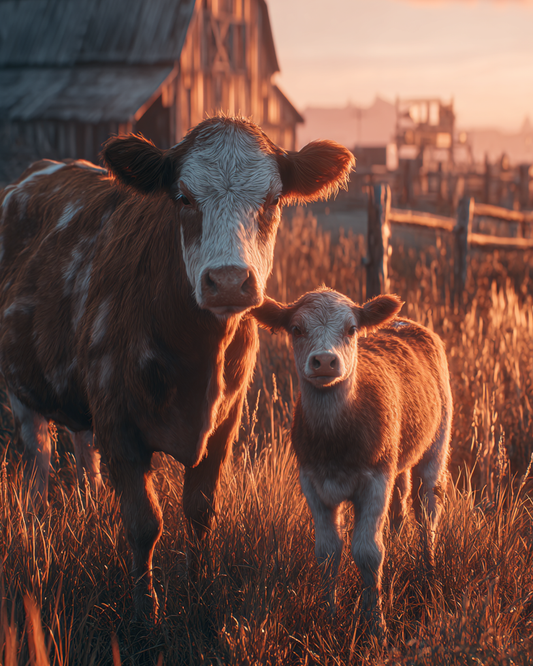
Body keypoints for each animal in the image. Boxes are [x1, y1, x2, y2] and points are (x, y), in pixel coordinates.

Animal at [0, 116, 355, 620]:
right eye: (183, 198)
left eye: (272, 200)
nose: (229, 280)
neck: (197, 358)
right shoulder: (119, 424)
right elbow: (144, 523)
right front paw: (146, 611)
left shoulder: (224, 424)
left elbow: (201, 511)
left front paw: (198, 589)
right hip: (20, 388)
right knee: (39, 459)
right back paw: (34, 524)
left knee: (81, 445)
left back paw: (89, 504)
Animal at [252, 288, 452, 635]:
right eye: (296, 329)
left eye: (352, 329)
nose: (324, 361)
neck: (335, 439)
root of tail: (403, 322)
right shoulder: (312, 482)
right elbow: (328, 552)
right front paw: (328, 615)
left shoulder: (375, 480)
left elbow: (368, 552)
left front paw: (375, 623)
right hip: (396, 457)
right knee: (399, 506)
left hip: (437, 444)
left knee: (427, 510)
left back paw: (428, 570)